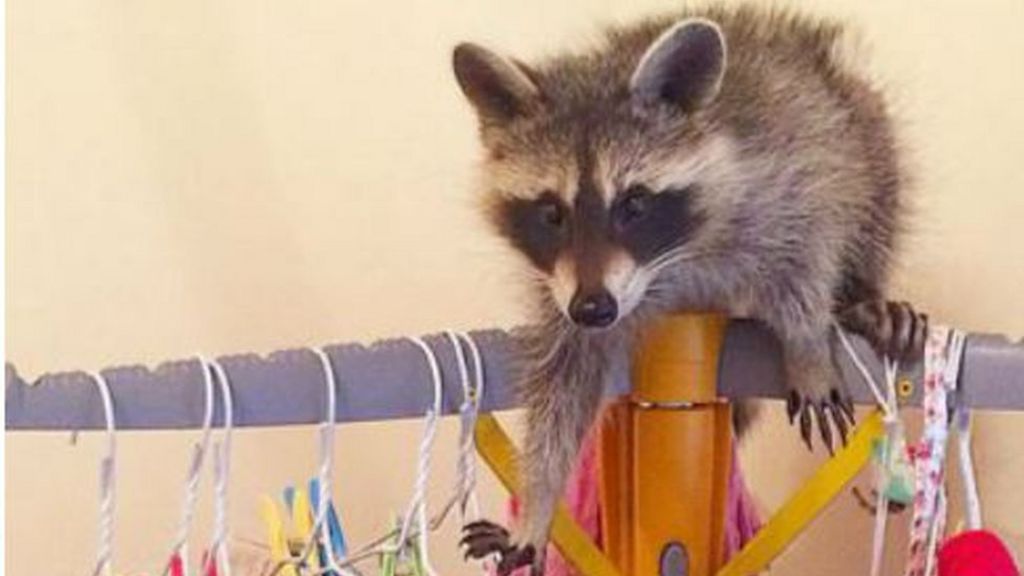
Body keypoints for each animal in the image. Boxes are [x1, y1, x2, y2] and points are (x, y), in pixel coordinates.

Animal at [454, 5, 926, 574]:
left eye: (633, 204)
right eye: (551, 213)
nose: (593, 308)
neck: (660, 271)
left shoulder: (781, 171)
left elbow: (806, 251)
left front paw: (806, 342)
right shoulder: (562, 291)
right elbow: (562, 385)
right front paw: (539, 502)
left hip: (857, 118)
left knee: (875, 182)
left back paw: (864, 295)